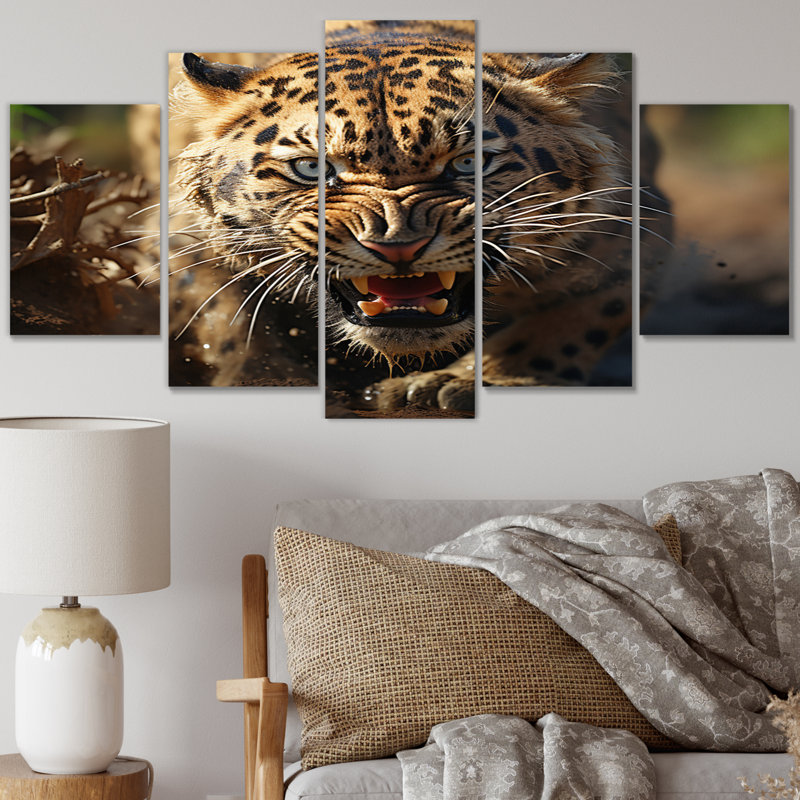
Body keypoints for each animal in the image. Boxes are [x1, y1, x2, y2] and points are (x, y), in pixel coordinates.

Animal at [169, 24, 668, 407]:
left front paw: (468, 380)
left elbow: (569, 322)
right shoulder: (183, 243)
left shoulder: (635, 236)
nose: (397, 247)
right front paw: (264, 378)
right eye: (311, 168)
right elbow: (227, 322)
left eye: (469, 163)